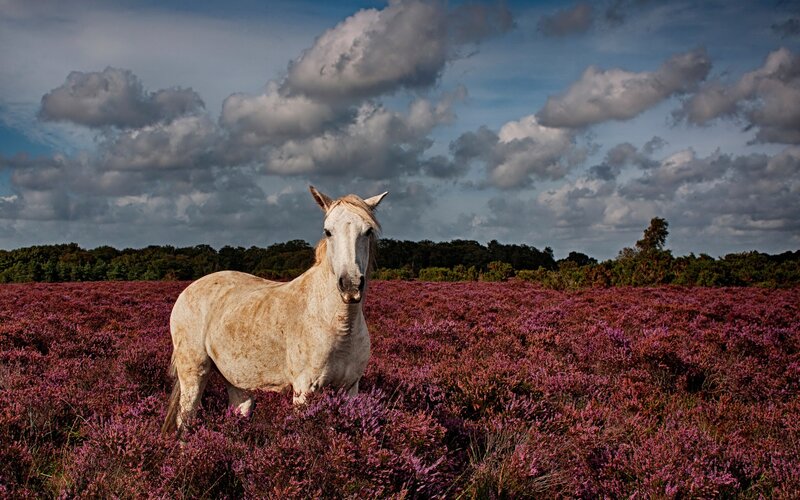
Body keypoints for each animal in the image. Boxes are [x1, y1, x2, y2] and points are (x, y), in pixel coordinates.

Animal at [161, 186, 388, 436]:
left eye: (368, 231)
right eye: (328, 231)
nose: (350, 285)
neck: (339, 325)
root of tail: (188, 290)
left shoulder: (349, 389)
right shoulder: (304, 390)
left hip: (237, 380)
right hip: (193, 371)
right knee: (185, 420)